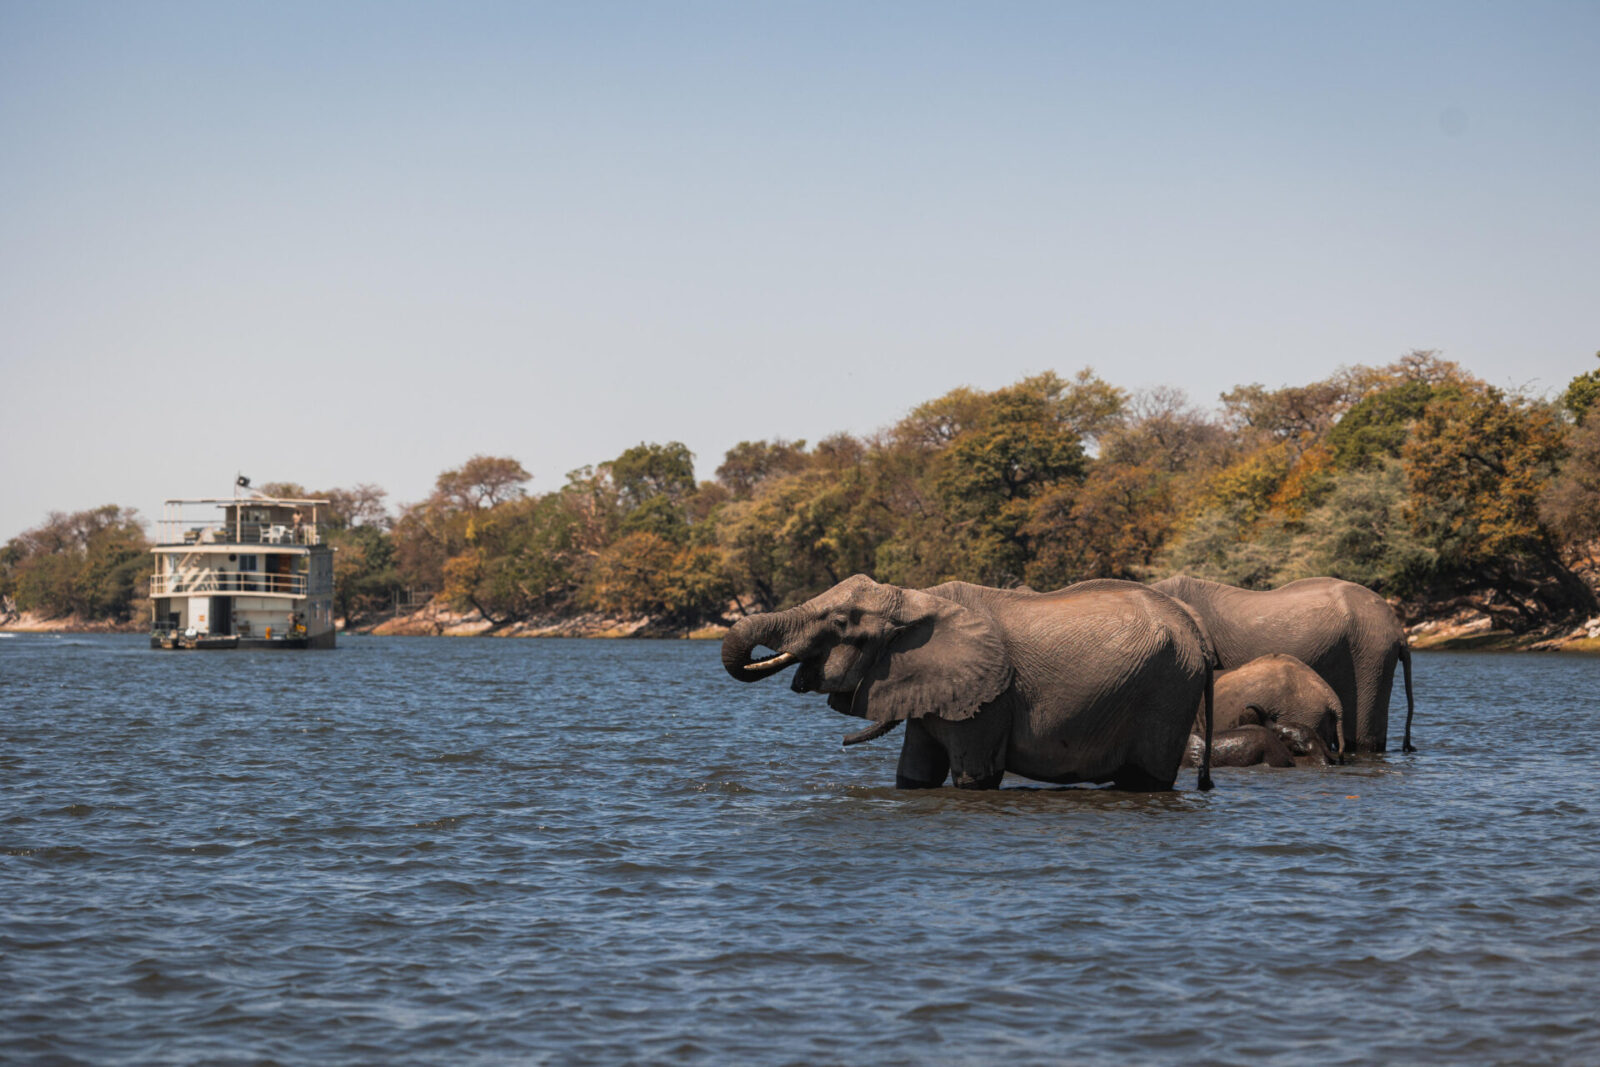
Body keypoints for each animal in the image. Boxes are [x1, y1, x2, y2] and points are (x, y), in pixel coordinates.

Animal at [720, 575, 1215, 792]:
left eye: (840, 622)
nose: (843, 742)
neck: (916, 599)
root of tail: (1197, 633)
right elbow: (915, 773)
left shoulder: (989, 698)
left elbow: (974, 777)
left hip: (1168, 689)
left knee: (1145, 778)